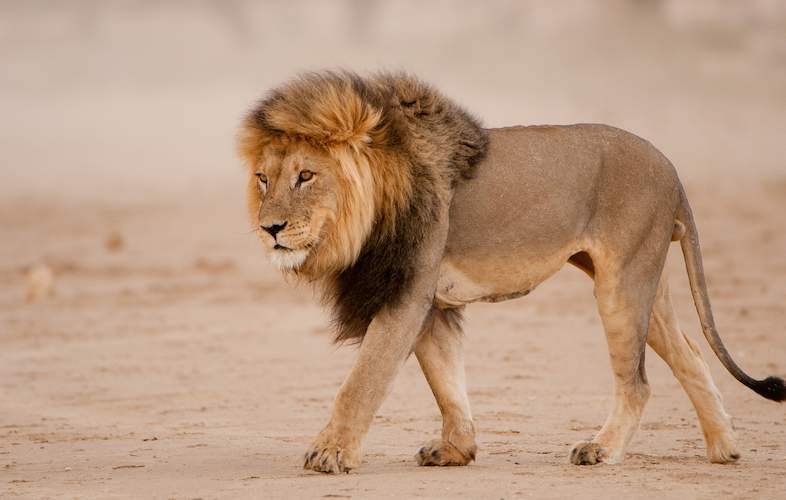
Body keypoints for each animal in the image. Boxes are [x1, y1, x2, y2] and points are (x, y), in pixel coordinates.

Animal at [236, 69, 780, 472]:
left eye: (306, 176)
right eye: (263, 179)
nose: (270, 228)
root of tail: (671, 167)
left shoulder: (406, 293)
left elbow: (362, 380)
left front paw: (331, 452)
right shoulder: (430, 302)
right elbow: (446, 381)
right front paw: (456, 450)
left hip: (622, 284)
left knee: (638, 382)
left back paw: (603, 449)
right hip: (647, 281)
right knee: (691, 355)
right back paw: (725, 448)